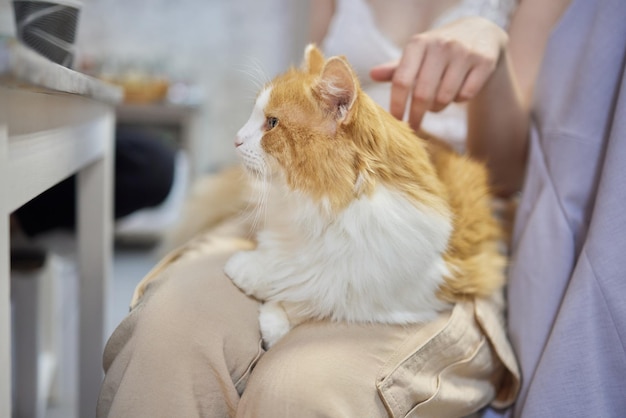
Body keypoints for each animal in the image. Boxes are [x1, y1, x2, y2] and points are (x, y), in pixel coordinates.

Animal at [222, 44, 504, 348]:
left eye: (272, 123)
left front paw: (271, 312)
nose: (235, 139)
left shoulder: (402, 289)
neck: (327, 210)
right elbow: (285, 264)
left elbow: (313, 292)